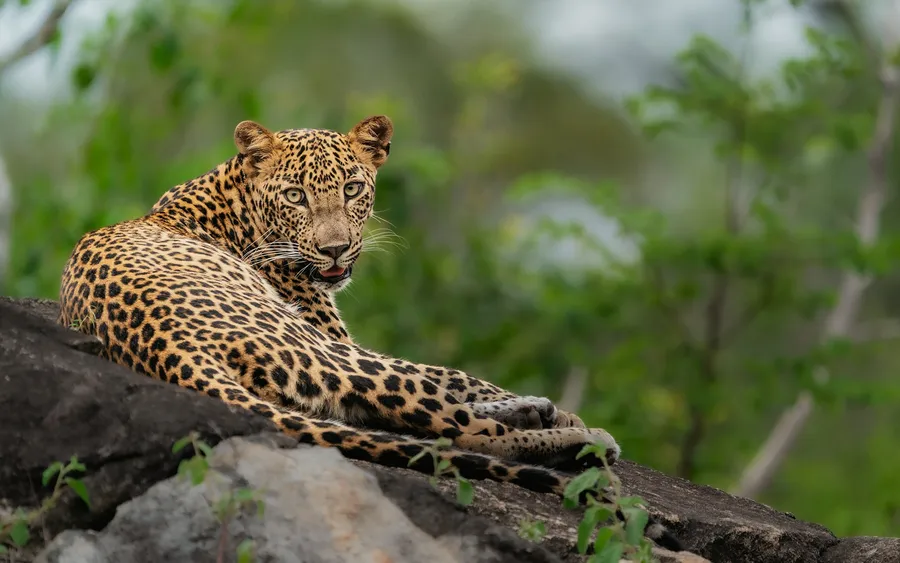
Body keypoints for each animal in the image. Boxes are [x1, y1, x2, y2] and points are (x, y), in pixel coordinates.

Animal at [58, 116, 681, 550]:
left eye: (354, 189)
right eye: (295, 196)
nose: (335, 250)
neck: (234, 201)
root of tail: (172, 351)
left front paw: (544, 407)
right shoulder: (335, 334)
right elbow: (457, 377)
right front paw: (561, 415)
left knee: (409, 418)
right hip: (318, 348)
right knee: (458, 428)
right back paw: (582, 440)